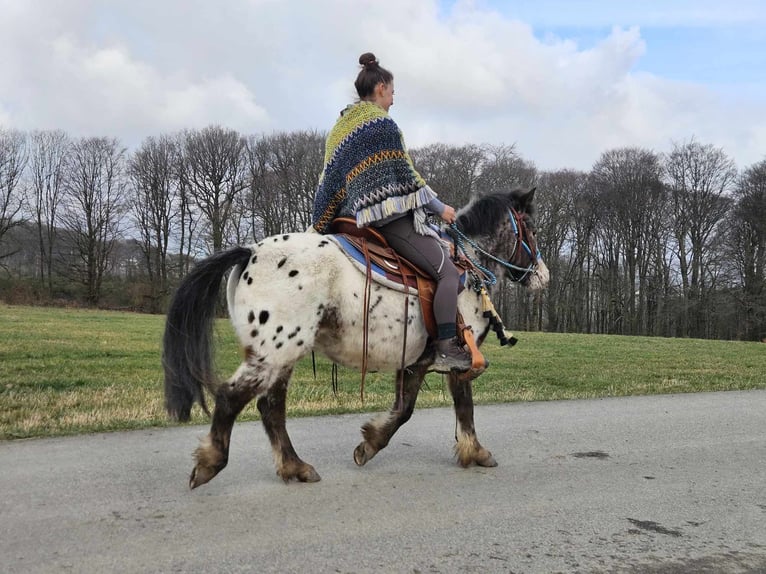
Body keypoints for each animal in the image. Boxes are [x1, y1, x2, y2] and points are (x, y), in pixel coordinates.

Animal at [162, 189, 548, 490]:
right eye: (530, 228)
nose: (542, 275)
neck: (467, 268)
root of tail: (251, 251)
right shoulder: (457, 357)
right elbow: (437, 408)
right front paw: (374, 445)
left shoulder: (417, 361)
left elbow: (420, 407)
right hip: (274, 352)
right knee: (232, 397)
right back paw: (211, 463)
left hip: (282, 355)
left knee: (271, 408)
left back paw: (295, 467)